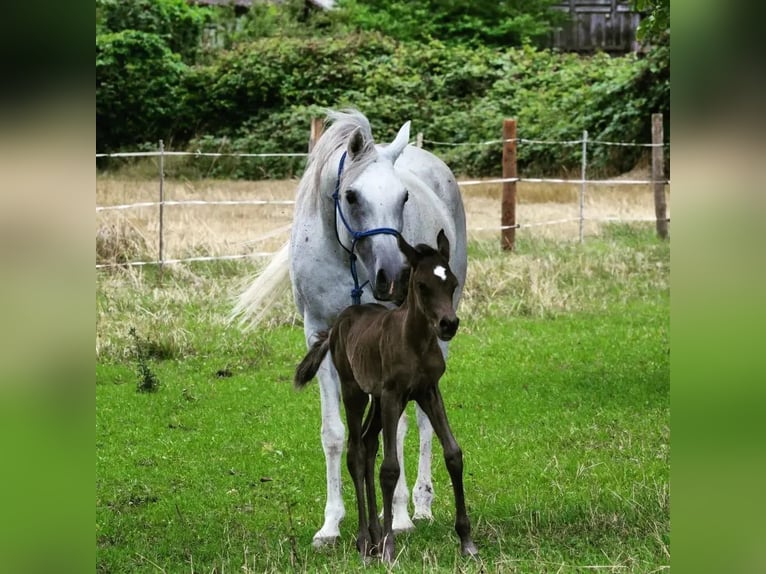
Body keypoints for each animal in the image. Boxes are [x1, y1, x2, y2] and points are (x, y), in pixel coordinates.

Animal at [296, 230, 476, 564]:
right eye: (422, 286)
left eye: (452, 283)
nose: (448, 324)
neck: (415, 341)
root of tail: (339, 321)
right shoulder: (394, 394)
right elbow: (390, 468)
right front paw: (390, 548)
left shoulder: (428, 391)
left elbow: (453, 454)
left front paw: (467, 542)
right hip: (355, 391)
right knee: (355, 451)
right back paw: (366, 541)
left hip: (377, 401)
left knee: (368, 444)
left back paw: (375, 535)